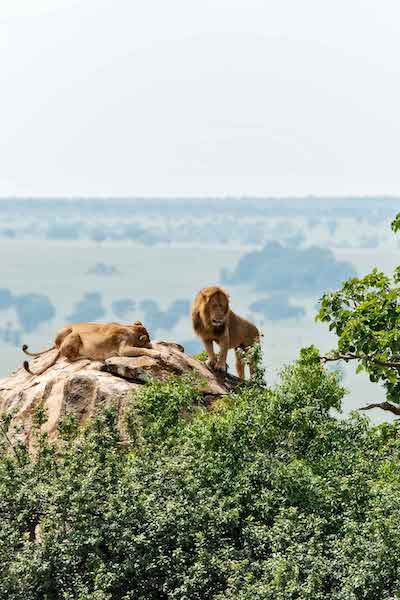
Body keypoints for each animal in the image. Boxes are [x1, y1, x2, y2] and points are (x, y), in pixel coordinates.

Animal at [22, 318, 159, 376]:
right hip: (74, 335)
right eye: (148, 336)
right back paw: (85, 357)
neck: (131, 329)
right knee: (70, 358)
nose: (150, 339)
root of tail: (59, 346)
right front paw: (155, 352)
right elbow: (141, 349)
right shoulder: (123, 349)